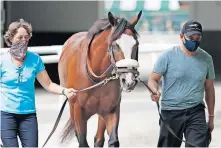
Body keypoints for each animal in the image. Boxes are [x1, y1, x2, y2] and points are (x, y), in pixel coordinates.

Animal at [57, 10, 142, 147]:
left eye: (136, 44)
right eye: (115, 45)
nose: (129, 81)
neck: (96, 79)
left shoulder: (111, 110)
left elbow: (112, 140)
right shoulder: (78, 111)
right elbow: (82, 141)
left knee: (98, 138)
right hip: (71, 106)